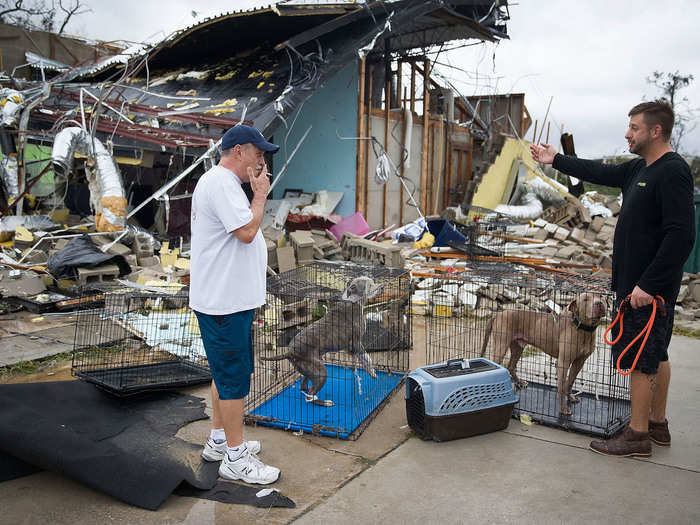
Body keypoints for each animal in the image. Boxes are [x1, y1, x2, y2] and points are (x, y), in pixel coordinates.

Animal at [260, 276, 382, 408]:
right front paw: (372, 372)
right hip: (321, 371)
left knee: (304, 387)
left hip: (310, 369)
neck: (352, 301)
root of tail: (290, 352)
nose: (382, 287)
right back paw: (325, 403)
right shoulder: (357, 343)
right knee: (309, 396)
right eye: (370, 285)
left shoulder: (351, 345)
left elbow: (363, 359)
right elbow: (367, 358)